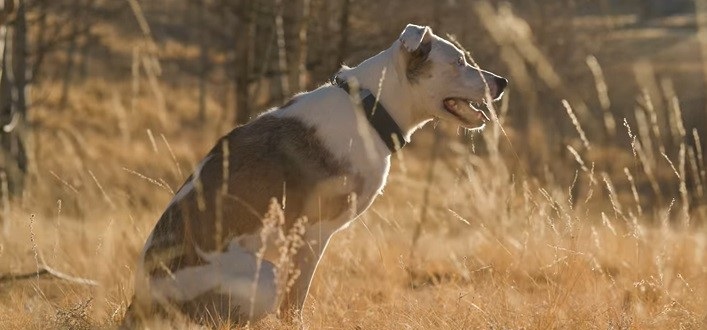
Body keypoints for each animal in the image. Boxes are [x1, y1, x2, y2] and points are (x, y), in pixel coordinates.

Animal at [124, 22, 506, 324]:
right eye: (459, 62)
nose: (502, 81)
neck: (369, 108)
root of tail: (139, 304)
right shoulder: (310, 237)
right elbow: (294, 307)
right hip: (264, 277)